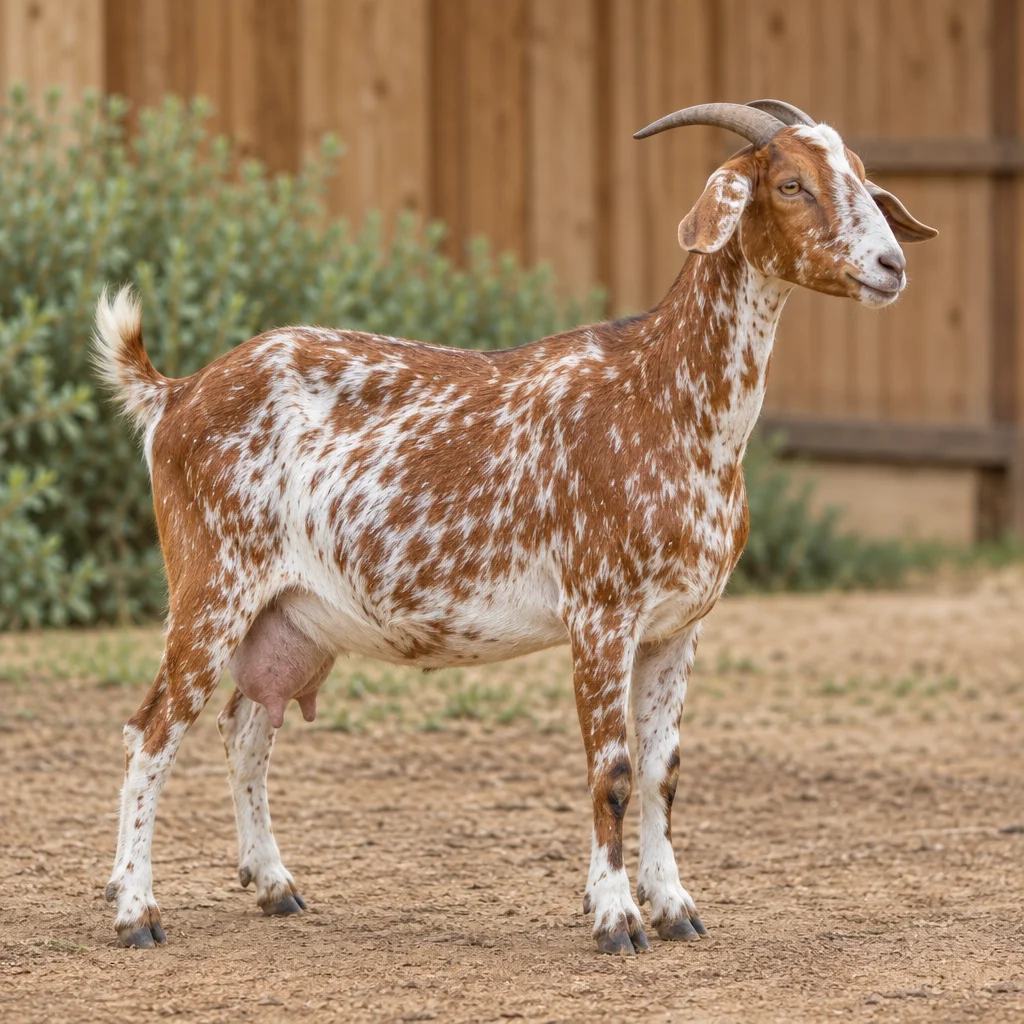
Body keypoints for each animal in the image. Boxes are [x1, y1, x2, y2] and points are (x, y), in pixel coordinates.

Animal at [94, 99, 936, 954]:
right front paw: (615, 918)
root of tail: (175, 393)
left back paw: (274, 885)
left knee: (244, 730)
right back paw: (136, 910)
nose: (891, 265)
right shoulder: (601, 613)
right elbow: (612, 772)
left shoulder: (678, 626)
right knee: (150, 733)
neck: (664, 397)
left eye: (862, 176)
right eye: (792, 183)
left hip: (290, 616)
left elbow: (662, 771)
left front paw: (674, 906)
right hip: (211, 587)